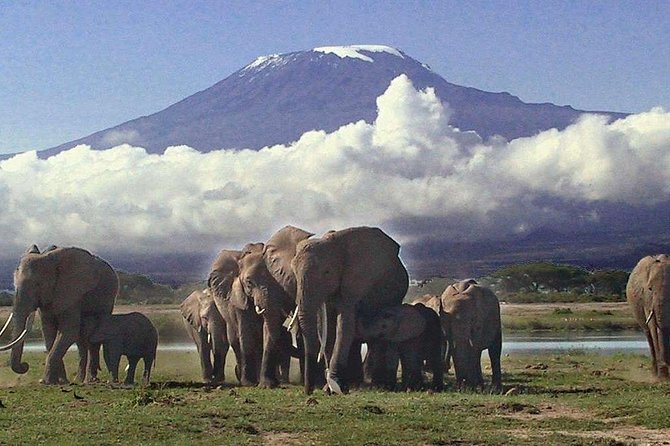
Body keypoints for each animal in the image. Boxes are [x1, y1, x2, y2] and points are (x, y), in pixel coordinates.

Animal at [0, 245, 118, 385]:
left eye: (38, 285)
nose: (25, 365)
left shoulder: (72, 293)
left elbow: (68, 331)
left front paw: (46, 381)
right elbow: (48, 333)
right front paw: (60, 381)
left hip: (108, 297)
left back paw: (90, 380)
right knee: (81, 340)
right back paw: (78, 380)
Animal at [293, 226, 409, 394]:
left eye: (327, 272)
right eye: (294, 272)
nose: (308, 392)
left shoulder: (354, 283)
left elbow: (344, 325)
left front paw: (335, 386)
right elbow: (327, 328)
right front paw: (329, 389)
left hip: (395, 293)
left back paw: (380, 385)